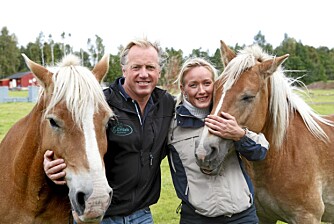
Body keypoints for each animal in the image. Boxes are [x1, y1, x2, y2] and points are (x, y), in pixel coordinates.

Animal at [194, 40, 334, 224]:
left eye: (248, 97)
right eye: (215, 90)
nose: (204, 151)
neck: (283, 154)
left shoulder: (307, 217)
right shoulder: (264, 216)